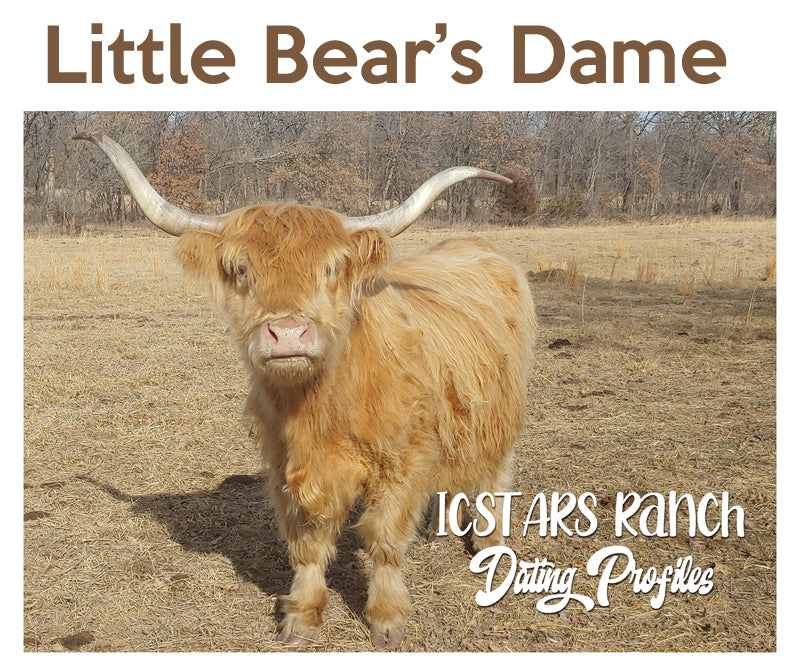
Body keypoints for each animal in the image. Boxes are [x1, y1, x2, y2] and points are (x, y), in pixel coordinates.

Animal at [74, 132, 537, 650]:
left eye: (331, 268)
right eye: (241, 269)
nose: (289, 334)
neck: (321, 409)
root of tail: (474, 243)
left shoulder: (404, 461)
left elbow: (384, 540)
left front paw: (387, 619)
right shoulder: (285, 463)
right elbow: (307, 543)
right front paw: (303, 615)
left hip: (501, 416)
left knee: (495, 473)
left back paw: (489, 541)